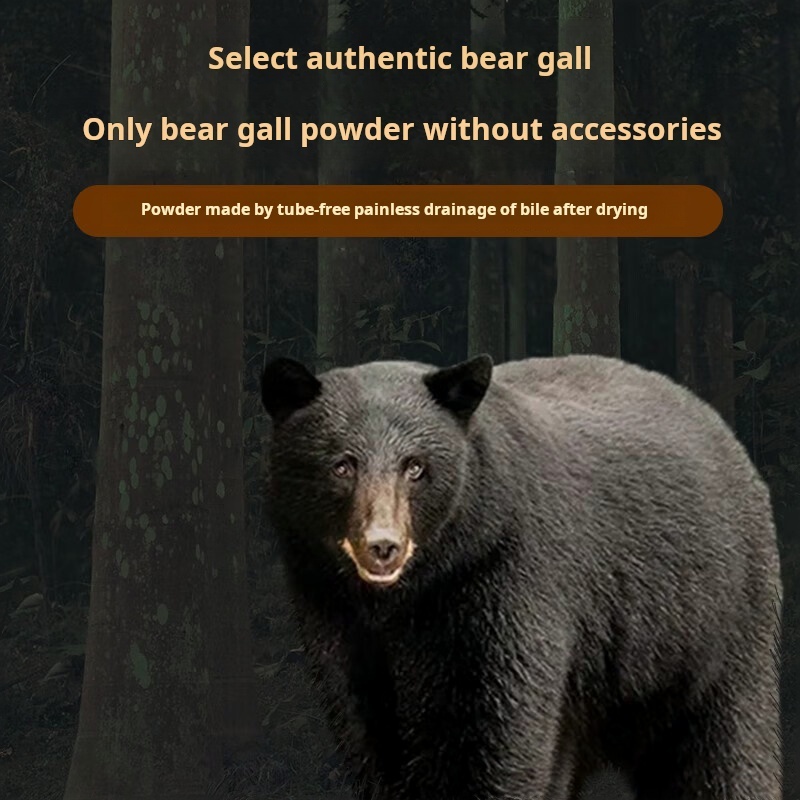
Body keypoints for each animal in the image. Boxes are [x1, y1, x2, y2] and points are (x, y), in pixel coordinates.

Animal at [259, 353, 783, 800]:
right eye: (341, 465)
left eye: (416, 467)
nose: (382, 546)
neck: (407, 596)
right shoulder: (334, 610)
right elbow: (369, 731)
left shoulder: (505, 578)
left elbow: (492, 731)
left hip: (715, 619)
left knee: (721, 749)